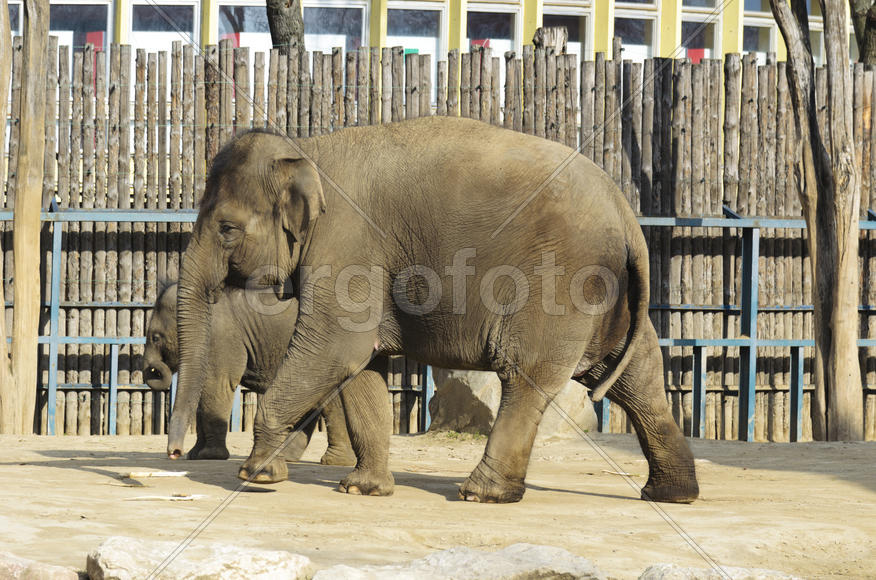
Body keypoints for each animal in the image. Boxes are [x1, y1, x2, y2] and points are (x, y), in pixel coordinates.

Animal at [142, 281, 357, 466]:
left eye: (155, 338)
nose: (175, 453)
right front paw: (195, 455)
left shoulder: (221, 337)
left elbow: (217, 384)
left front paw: (209, 456)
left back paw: (334, 461)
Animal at [169, 116, 699, 504]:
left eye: (227, 229)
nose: (174, 454)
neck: (307, 152)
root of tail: (627, 215)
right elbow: (361, 365)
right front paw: (362, 490)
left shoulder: (347, 246)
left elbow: (335, 349)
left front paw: (256, 475)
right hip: (610, 299)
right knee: (636, 379)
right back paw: (671, 494)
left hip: (560, 280)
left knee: (525, 376)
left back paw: (481, 494)